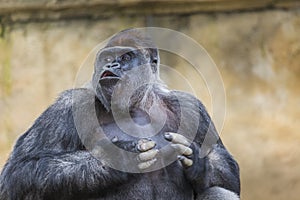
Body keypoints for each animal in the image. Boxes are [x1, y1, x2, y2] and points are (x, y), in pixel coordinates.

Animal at [0, 28, 239, 200]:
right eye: (107, 57)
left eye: (126, 57)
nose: (112, 64)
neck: (137, 104)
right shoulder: (68, 106)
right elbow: (17, 173)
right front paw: (116, 158)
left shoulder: (191, 106)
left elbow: (230, 174)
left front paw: (197, 160)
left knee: (218, 191)